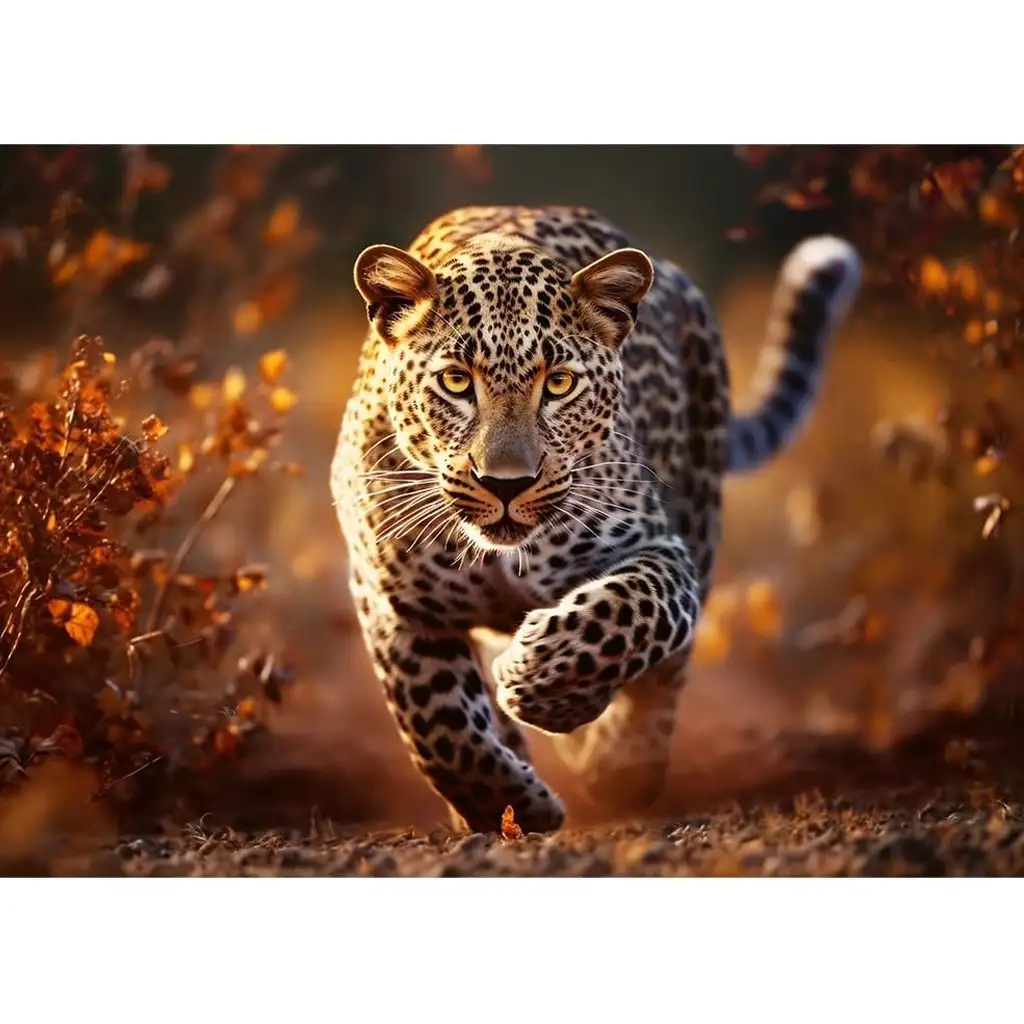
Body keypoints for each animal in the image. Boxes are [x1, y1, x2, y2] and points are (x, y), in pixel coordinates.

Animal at [330, 204, 860, 835]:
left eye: (559, 384)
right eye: (456, 381)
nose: (506, 483)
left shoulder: (659, 549)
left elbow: (628, 613)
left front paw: (541, 682)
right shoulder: (392, 600)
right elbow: (437, 724)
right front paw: (509, 804)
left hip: (700, 511)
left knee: (665, 676)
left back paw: (622, 764)